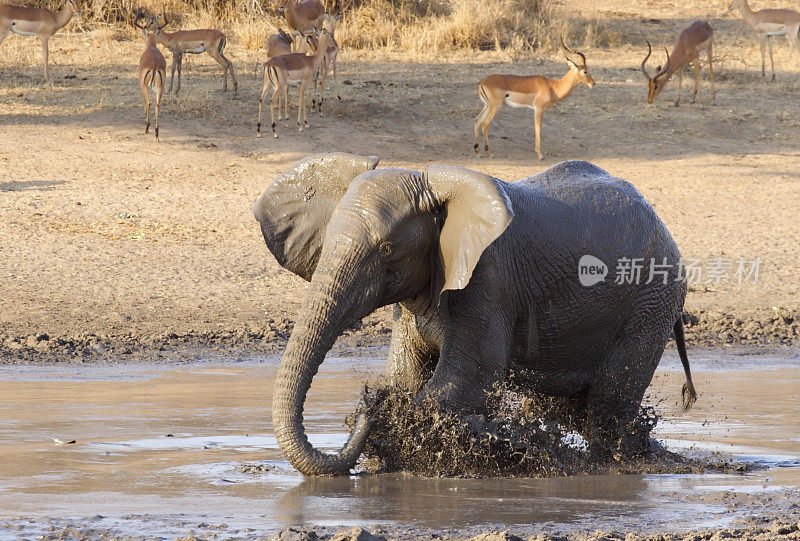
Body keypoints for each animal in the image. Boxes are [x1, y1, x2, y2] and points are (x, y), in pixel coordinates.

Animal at [253, 151, 696, 472]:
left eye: (387, 249)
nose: (366, 400)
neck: (432, 188)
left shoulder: (489, 278)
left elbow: (466, 379)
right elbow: (408, 376)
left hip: (651, 301)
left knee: (608, 406)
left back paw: (618, 461)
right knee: (573, 408)